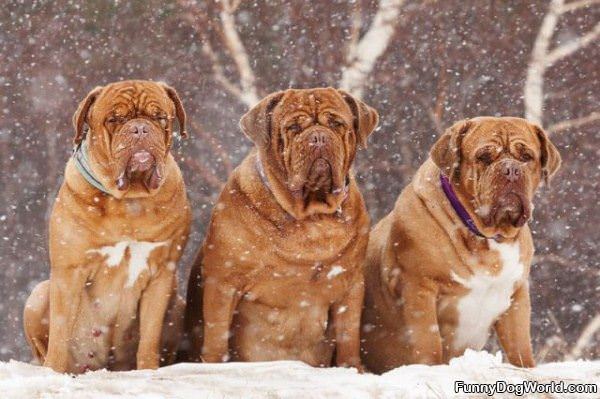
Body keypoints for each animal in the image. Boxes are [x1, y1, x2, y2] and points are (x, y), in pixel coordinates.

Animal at [22, 80, 190, 376]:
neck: (129, 200)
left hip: (177, 302)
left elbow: (150, 336)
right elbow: (60, 330)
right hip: (38, 294)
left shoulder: (161, 273)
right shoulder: (69, 272)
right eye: (114, 120)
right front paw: (54, 370)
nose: (140, 128)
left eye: (160, 117)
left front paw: (148, 370)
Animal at [185, 87, 378, 368]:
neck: (312, 216)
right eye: (293, 127)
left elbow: (349, 336)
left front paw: (353, 368)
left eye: (336, 124)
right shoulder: (223, 282)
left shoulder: (350, 284)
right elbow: (217, 334)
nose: (319, 137)